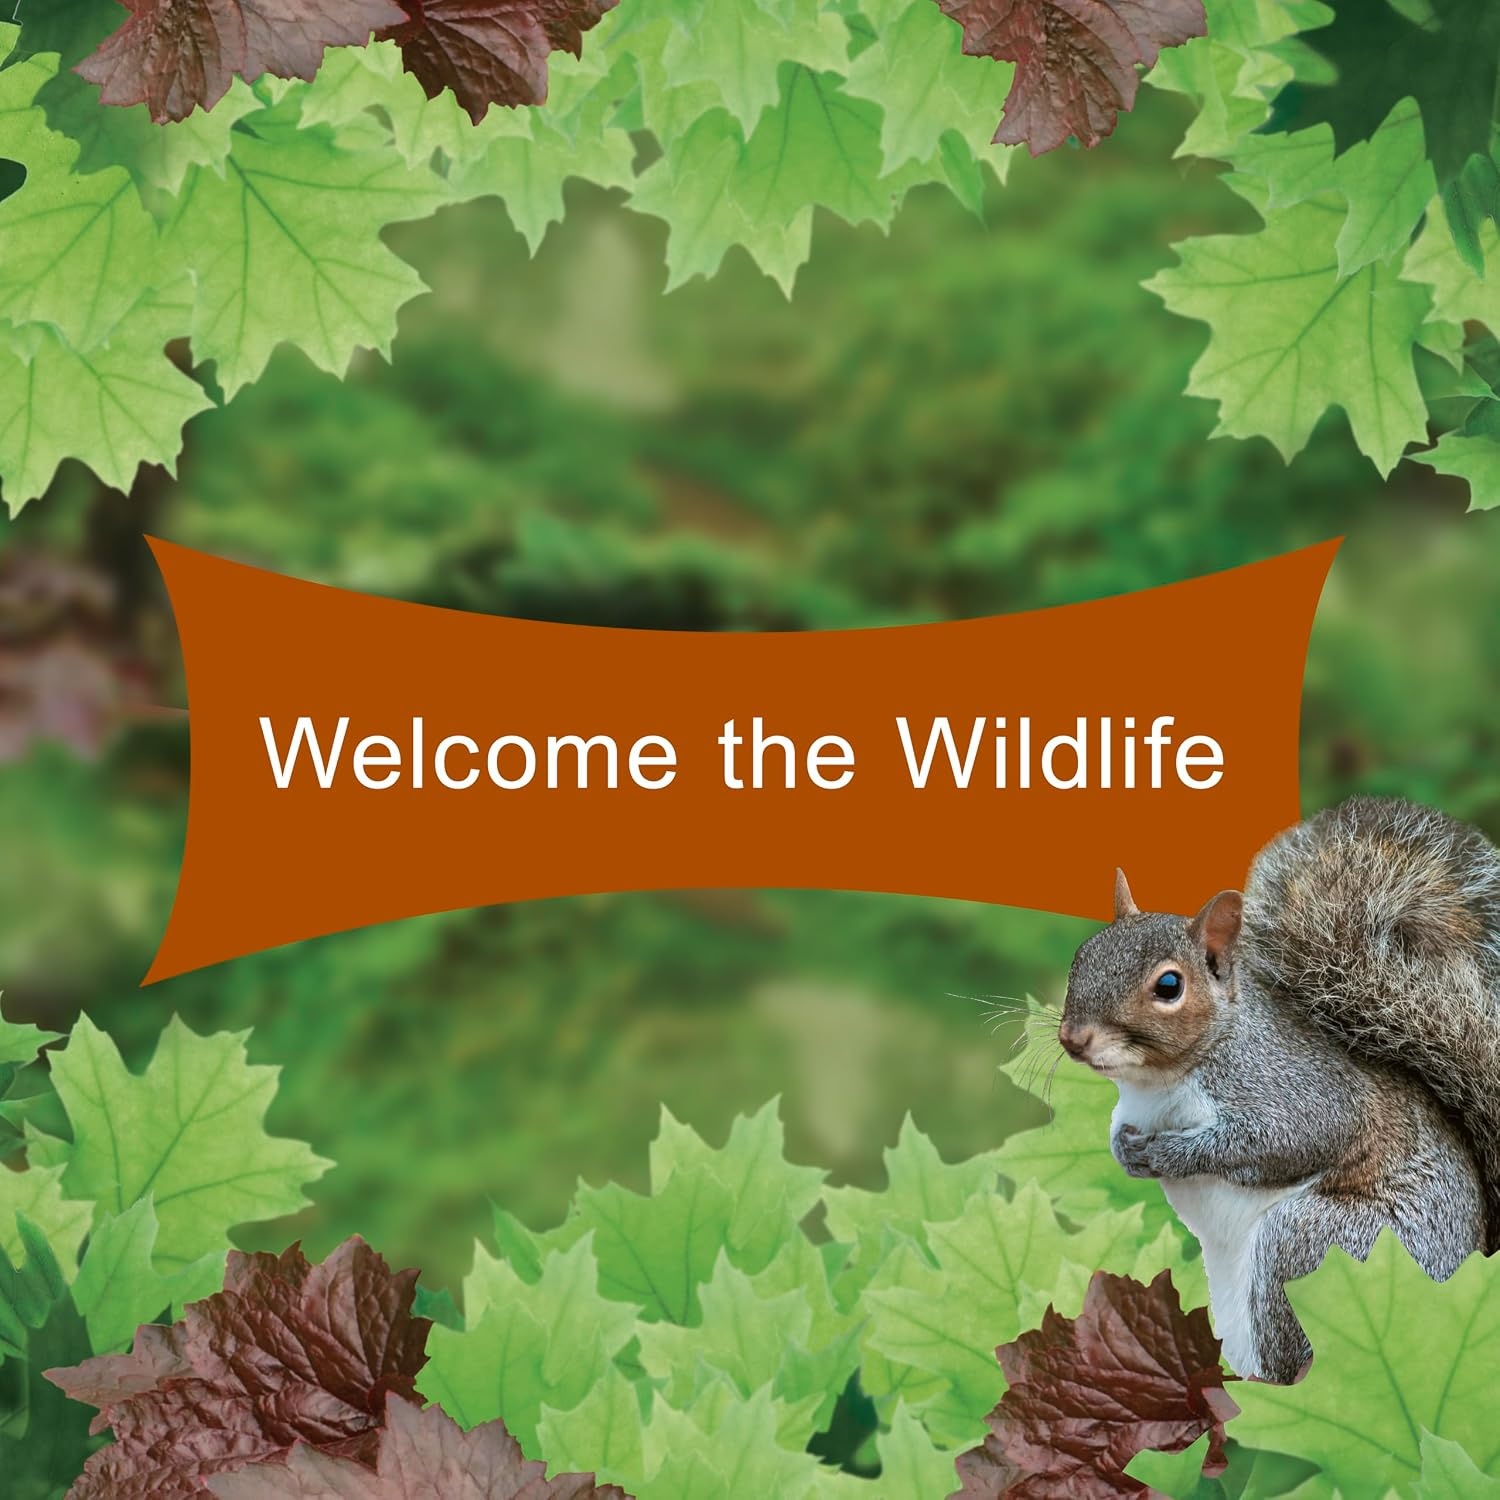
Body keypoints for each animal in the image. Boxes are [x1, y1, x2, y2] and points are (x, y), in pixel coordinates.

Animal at [1058, 796, 1500, 1384]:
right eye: (1081, 956)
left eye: (1169, 986)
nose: (1072, 1038)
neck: (1156, 1084)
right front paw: (1123, 1150)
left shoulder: (1295, 1091)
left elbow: (1283, 1141)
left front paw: (1172, 1154)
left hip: (1324, 1247)